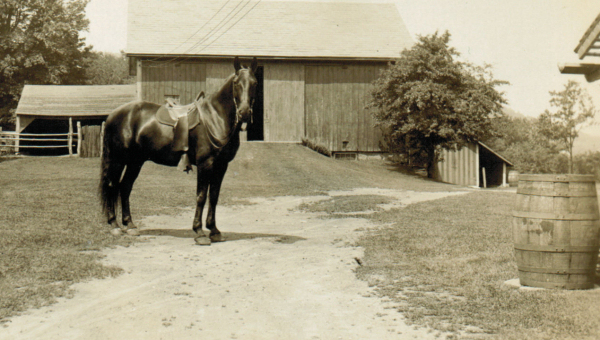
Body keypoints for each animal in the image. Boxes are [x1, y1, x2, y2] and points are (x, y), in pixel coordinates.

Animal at [99, 57, 258, 246]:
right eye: (236, 83)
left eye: (254, 83)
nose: (244, 113)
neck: (215, 118)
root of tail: (113, 115)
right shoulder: (205, 164)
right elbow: (201, 196)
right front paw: (199, 232)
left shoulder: (221, 166)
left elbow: (214, 196)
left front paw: (214, 231)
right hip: (118, 160)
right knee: (112, 185)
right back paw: (114, 225)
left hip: (135, 162)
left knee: (125, 186)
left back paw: (130, 225)